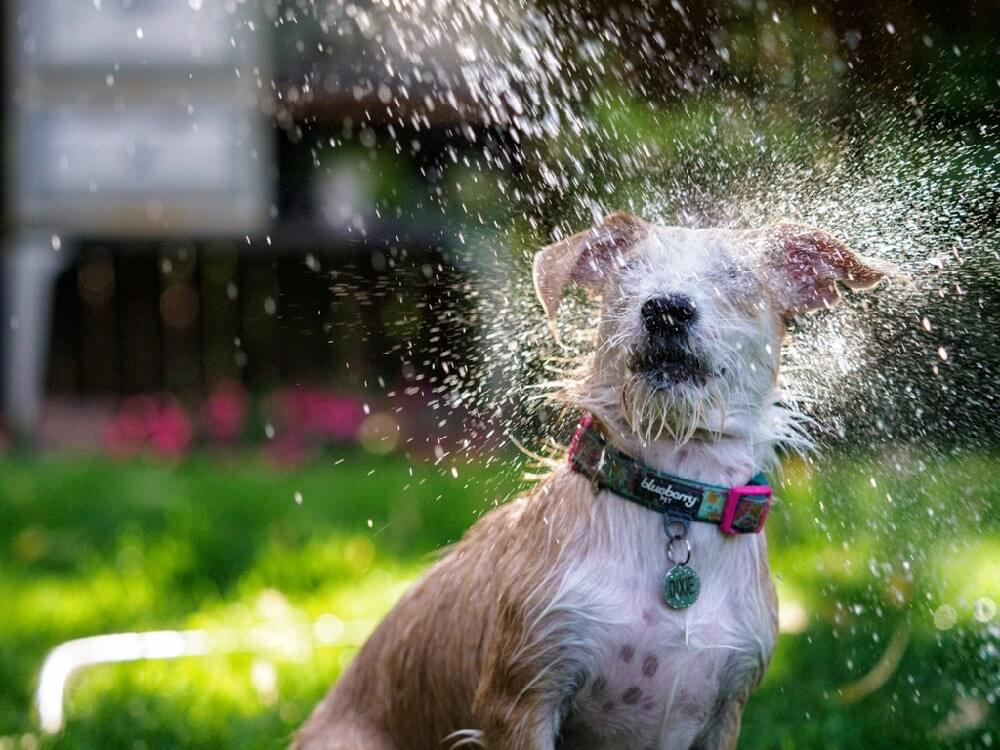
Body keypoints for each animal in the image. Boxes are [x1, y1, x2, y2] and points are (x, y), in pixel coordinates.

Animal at [296, 213, 892, 750]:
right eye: (630, 273)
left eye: (734, 276)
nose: (665, 308)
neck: (671, 499)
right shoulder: (524, 695)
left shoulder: (728, 706)